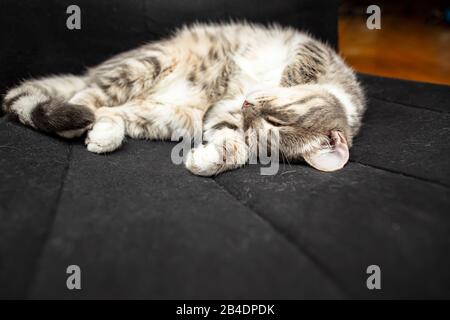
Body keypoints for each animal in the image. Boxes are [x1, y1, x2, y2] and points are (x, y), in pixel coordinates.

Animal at [0, 21, 366, 178]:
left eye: (266, 127)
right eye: (277, 118)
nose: (247, 104)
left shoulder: (218, 118)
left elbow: (234, 148)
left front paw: (205, 161)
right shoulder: (312, 49)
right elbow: (300, 68)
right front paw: (286, 79)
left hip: (171, 117)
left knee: (111, 112)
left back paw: (102, 135)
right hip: (147, 64)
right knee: (87, 98)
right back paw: (77, 116)